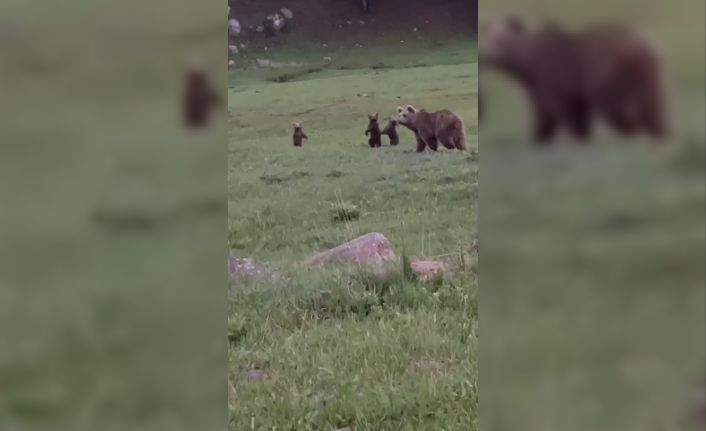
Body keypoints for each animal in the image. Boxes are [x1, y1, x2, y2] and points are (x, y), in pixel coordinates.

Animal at [478, 15, 664, 143]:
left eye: (500, 40)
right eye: (488, 38)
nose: (486, 56)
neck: (527, 64)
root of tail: (643, 44)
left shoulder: (551, 78)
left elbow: (556, 111)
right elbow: (556, 113)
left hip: (610, 73)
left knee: (615, 107)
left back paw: (634, 130)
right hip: (649, 75)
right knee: (652, 106)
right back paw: (658, 132)